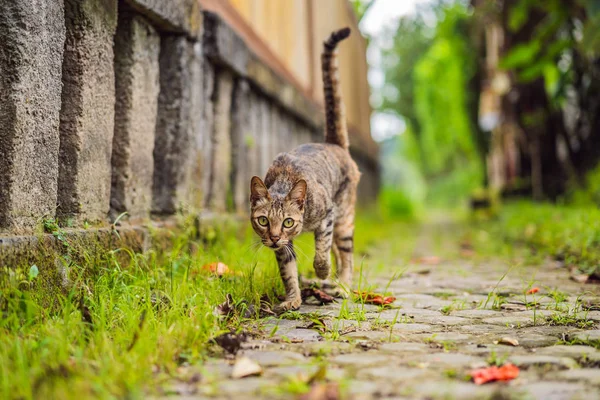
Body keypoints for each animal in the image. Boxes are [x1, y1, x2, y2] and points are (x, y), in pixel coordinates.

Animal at [250, 27, 358, 312]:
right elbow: (288, 272)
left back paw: (342, 285)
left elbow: (321, 252)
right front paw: (292, 299)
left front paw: (321, 271)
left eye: (288, 221)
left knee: (346, 255)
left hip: (344, 218)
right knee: (338, 251)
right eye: (263, 221)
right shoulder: (283, 248)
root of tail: (334, 143)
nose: (274, 237)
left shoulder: (327, 215)